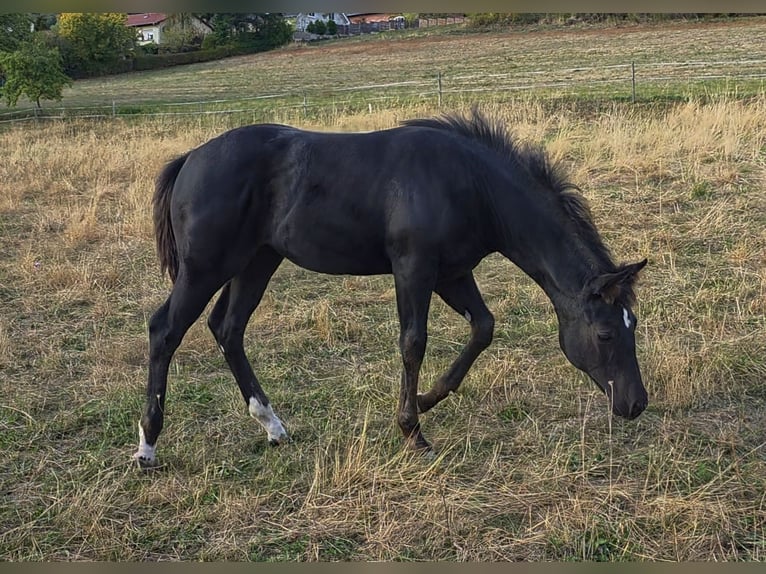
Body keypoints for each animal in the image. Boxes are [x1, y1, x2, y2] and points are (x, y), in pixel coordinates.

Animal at [134, 109, 648, 467]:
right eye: (605, 333)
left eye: (634, 325)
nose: (635, 404)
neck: (468, 183)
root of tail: (190, 159)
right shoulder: (414, 268)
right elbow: (413, 341)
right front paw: (412, 431)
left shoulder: (452, 273)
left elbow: (483, 327)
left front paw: (424, 400)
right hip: (205, 267)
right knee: (165, 330)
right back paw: (148, 446)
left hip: (257, 261)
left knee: (228, 328)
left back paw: (273, 426)